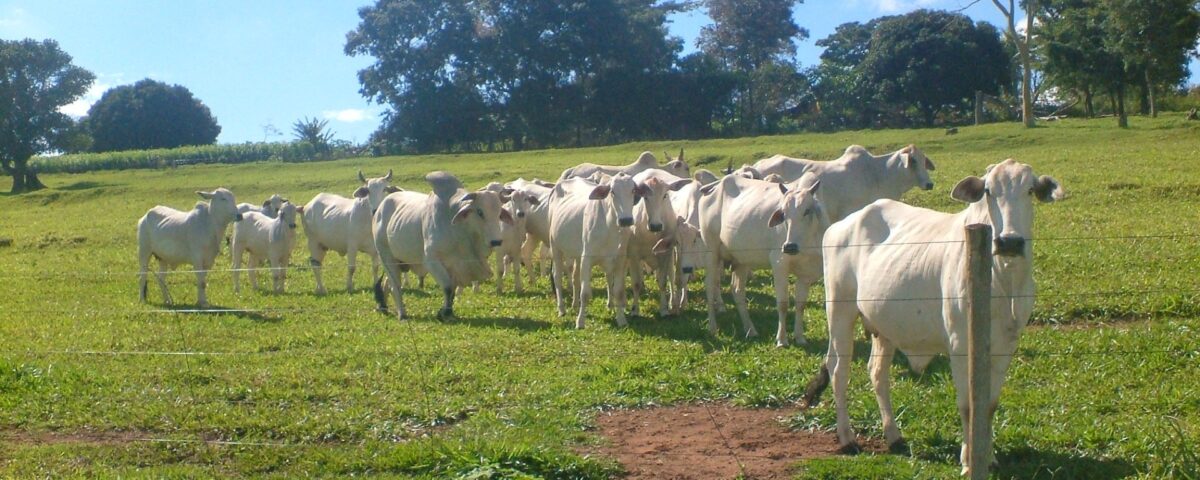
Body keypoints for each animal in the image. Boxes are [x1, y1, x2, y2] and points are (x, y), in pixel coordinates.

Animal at [372, 172, 512, 320]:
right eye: (480, 212)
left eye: (499, 213)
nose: (496, 241)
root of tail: (380, 208)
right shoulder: (431, 261)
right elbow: (448, 287)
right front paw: (443, 313)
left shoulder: (455, 266)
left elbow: (453, 290)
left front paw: (448, 312)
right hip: (386, 256)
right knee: (396, 285)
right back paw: (402, 313)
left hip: (400, 261)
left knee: (387, 283)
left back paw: (383, 306)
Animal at [548, 173, 640, 328]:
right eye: (612, 192)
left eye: (633, 190)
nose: (626, 220)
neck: (610, 227)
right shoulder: (587, 258)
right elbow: (585, 293)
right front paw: (580, 322)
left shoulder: (620, 260)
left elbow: (618, 291)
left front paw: (621, 319)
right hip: (555, 246)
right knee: (557, 276)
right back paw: (561, 308)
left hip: (577, 253)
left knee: (575, 276)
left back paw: (574, 304)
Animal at [699, 173, 827, 346]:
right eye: (783, 214)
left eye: (807, 211)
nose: (790, 247)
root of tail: (714, 186)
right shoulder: (779, 264)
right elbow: (783, 304)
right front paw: (781, 340)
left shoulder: (806, 274)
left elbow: (800, 305)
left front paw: (800, 337)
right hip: (711, 252)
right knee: (710, 286)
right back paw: (712, 327)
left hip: (741, 260)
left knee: (737, 290)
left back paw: (750, 329)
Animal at [803, 159, 1063, 474]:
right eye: (988, 191)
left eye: (1030, 190)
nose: (1009, 242)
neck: (1003, 280)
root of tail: (842, 224)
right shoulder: (960, 345)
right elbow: (968, 405)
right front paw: (968, 461)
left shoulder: (1006, 346)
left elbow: (988, 405)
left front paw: (988, 457)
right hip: (840, 310)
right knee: (839, 371)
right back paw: (847, 438)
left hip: (884, 327)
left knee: (877, 373)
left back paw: (894, 436)